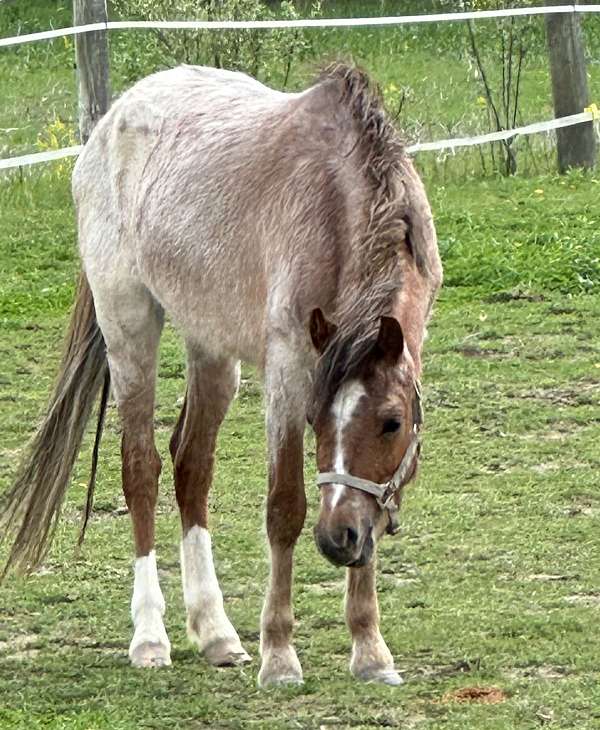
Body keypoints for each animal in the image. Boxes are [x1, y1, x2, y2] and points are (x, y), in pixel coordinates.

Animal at [0, 63, 442, 686]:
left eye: (392, 423)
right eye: (314, 417)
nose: (337, 541)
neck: (337, 203)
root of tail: (114, 117)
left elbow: (374, 511)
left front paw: (370, 650)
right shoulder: (288, 369)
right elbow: (284, 507)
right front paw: (279, 655)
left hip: (211, 349)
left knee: (191, 467)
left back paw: (216, 634)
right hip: (129, 329)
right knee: (142, 469)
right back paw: (150, 637)